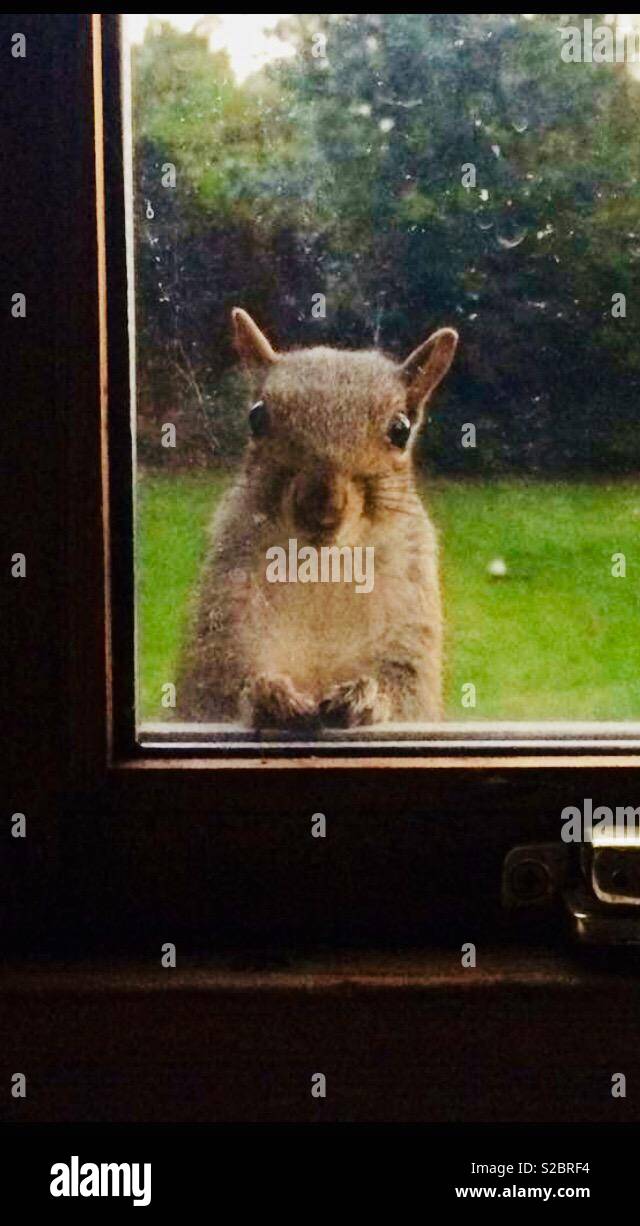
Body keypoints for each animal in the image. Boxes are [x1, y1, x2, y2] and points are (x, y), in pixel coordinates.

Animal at [177, 308, 458, 728]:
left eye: (401, 429)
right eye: (256, 417)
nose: (322, 505)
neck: (322, 564)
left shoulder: (410, 608)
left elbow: (407, 690)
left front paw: (365, 696)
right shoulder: (227, 604)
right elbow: (219, 687)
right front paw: (269, 693)